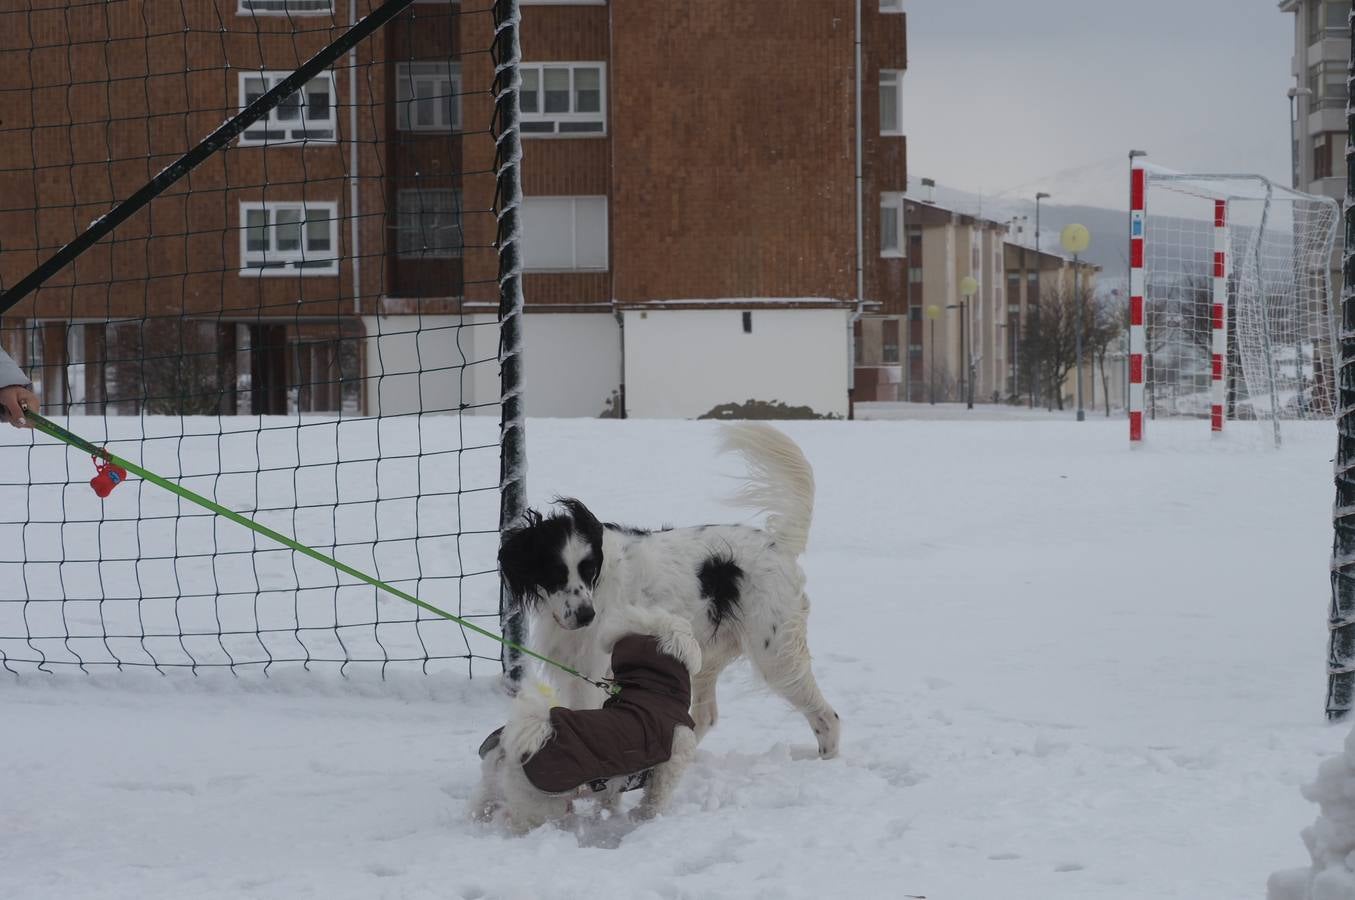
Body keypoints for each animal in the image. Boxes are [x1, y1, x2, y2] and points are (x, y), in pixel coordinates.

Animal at [468, 607, 699, 834]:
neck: (650, 690)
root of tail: (508, 747)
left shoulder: (615, 783)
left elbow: (610, 800)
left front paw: (610, 816)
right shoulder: (669, 766)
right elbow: (655, 799)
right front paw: (646, 819)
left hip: (492, 787)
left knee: (482, 803)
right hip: (541, 805)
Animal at [498, 422, 834, 759]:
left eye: (589, 569)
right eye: (555, 574)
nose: (585, 616)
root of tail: (778, 545)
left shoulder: (592, 672)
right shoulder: (575, 670)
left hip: (776, 655)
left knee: (826, 715)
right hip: (708, 655)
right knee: (705, 716)